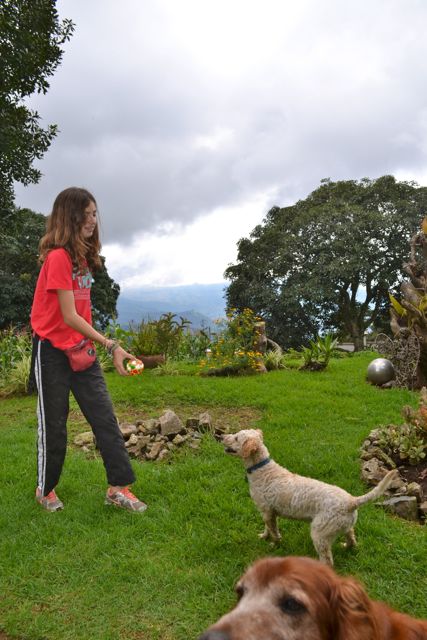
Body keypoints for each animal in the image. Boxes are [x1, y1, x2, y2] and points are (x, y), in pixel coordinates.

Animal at [221, 429, 398, 565]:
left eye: (236, 437)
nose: (221, 436)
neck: (262, 470)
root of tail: (352, 501)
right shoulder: (268, 512)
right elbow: (267, 528)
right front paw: (264, 536)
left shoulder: (267, 511)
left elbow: (274, 531)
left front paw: (274, 543)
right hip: (345, 527)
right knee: (352, 539)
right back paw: (347, 547)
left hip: (319, 534)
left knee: (327, 561)